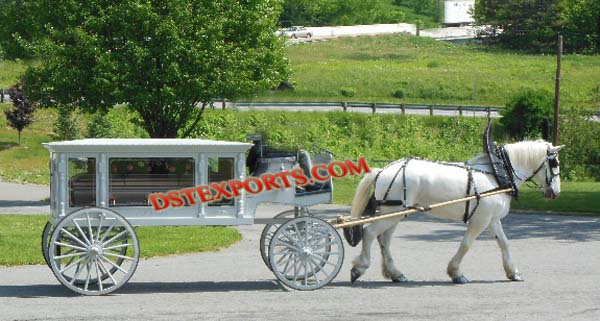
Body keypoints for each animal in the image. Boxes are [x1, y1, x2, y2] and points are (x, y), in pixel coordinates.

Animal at [350, 140, 564, 282]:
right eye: (554, 163)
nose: (556, 192)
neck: (497, 175)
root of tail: (383, 170)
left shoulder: (492, 219)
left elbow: (504, 243)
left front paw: (513, 272)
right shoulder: (480, 220)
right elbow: (466, 244)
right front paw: (456, 273)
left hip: (395, 213)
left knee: (384, 240)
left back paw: (395, 273)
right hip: (392, 212)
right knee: (369, 233)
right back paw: (359, 268)